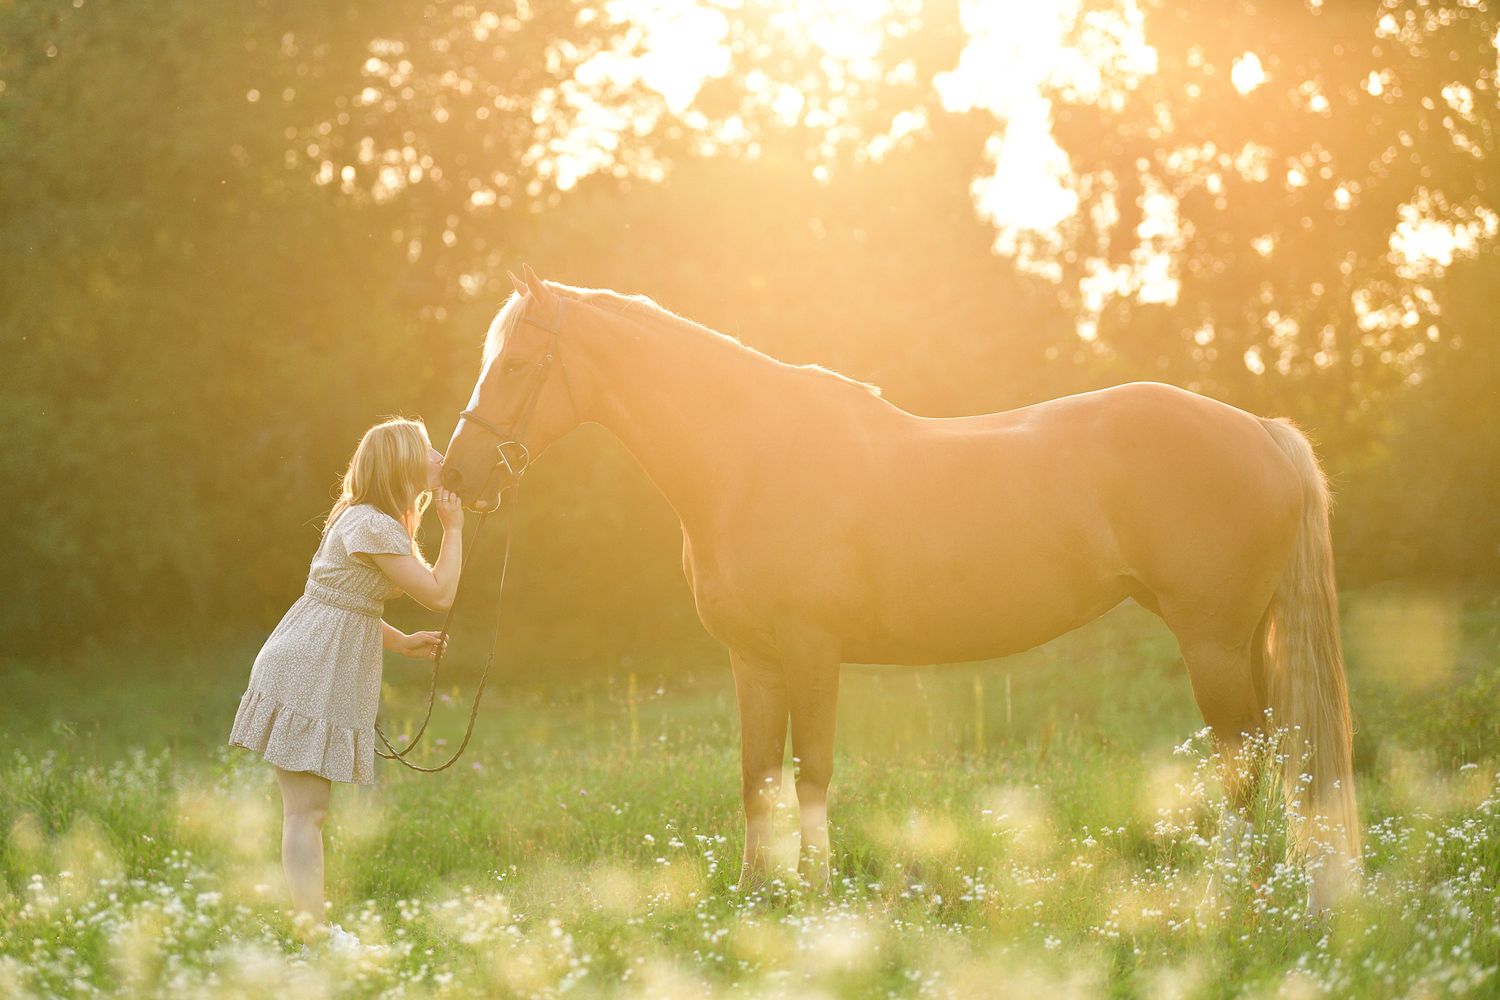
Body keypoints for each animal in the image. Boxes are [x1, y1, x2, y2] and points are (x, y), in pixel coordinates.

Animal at [440, 265, 1361, 911]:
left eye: (517, 363)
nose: (456, 476)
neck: (752, 459)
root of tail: (1260, 431)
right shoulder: (753, 661)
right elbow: (756, 775)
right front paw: (752, 897)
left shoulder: (813, 652)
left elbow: (811, 773)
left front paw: (815, 896)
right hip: (1242, 639)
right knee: (1275, 752)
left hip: (1210, 642)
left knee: (1244, 761)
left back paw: (1233, 894)